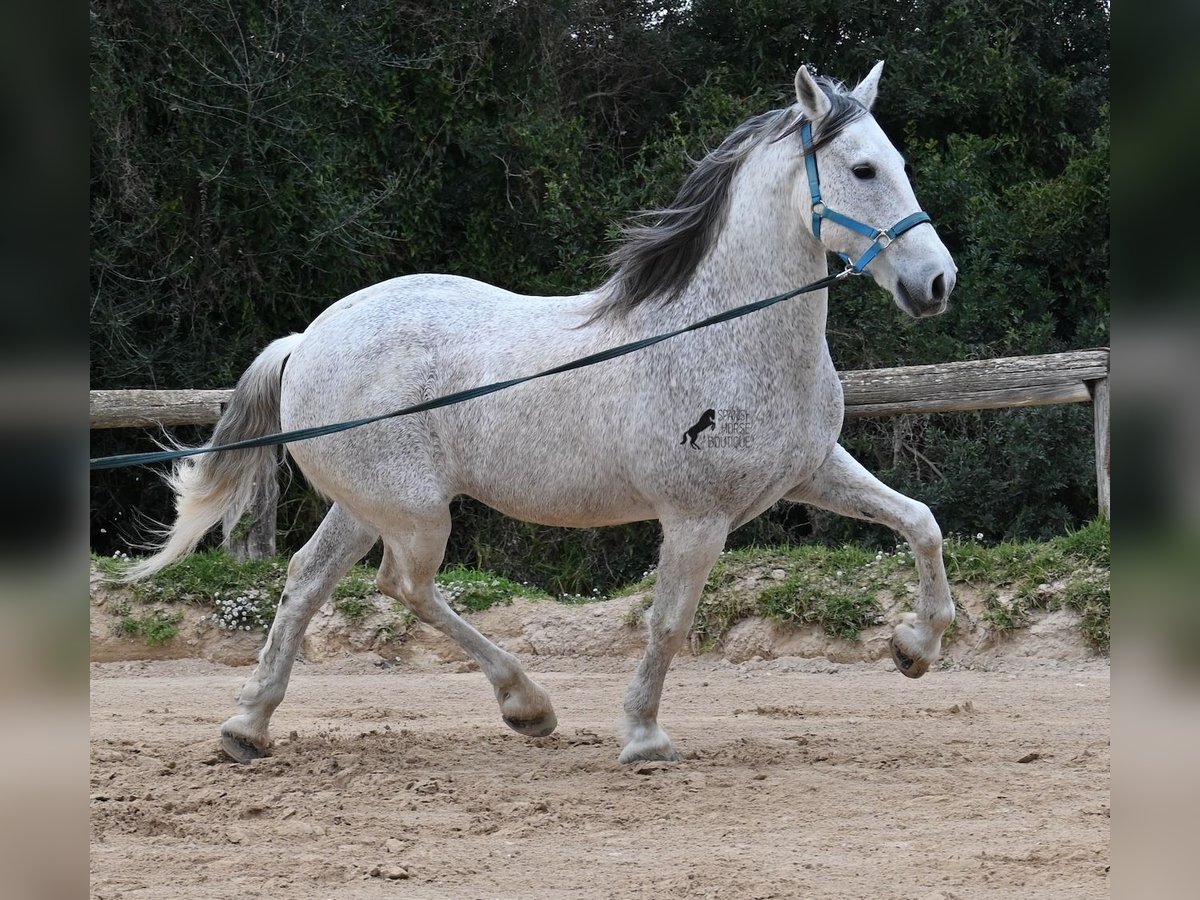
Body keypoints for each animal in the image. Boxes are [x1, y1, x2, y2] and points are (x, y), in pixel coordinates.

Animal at [131, 63, 955, 763]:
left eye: (901, 163)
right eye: (863, 170)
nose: (937, 282)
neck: (722, 333)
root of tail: (307, 339)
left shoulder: (812, 471)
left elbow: (921, 522)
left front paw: (915, 647)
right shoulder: (696, 517)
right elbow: (669, 622)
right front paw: (643, 737)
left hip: (369, 506)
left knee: (307, 580)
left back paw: (247, 727)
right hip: (415, 512)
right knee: (404, 586)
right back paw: (527, 704)